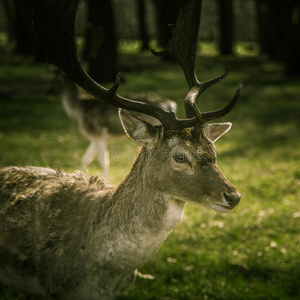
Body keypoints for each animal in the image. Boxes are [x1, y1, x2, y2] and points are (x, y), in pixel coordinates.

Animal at [48, 73, 177, 179]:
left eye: (54, 81)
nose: (47, 92)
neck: (78, 112)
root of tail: (171, 104)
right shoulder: (95, 138)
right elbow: (85, 158)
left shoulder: (98, 134)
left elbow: (103, 162)